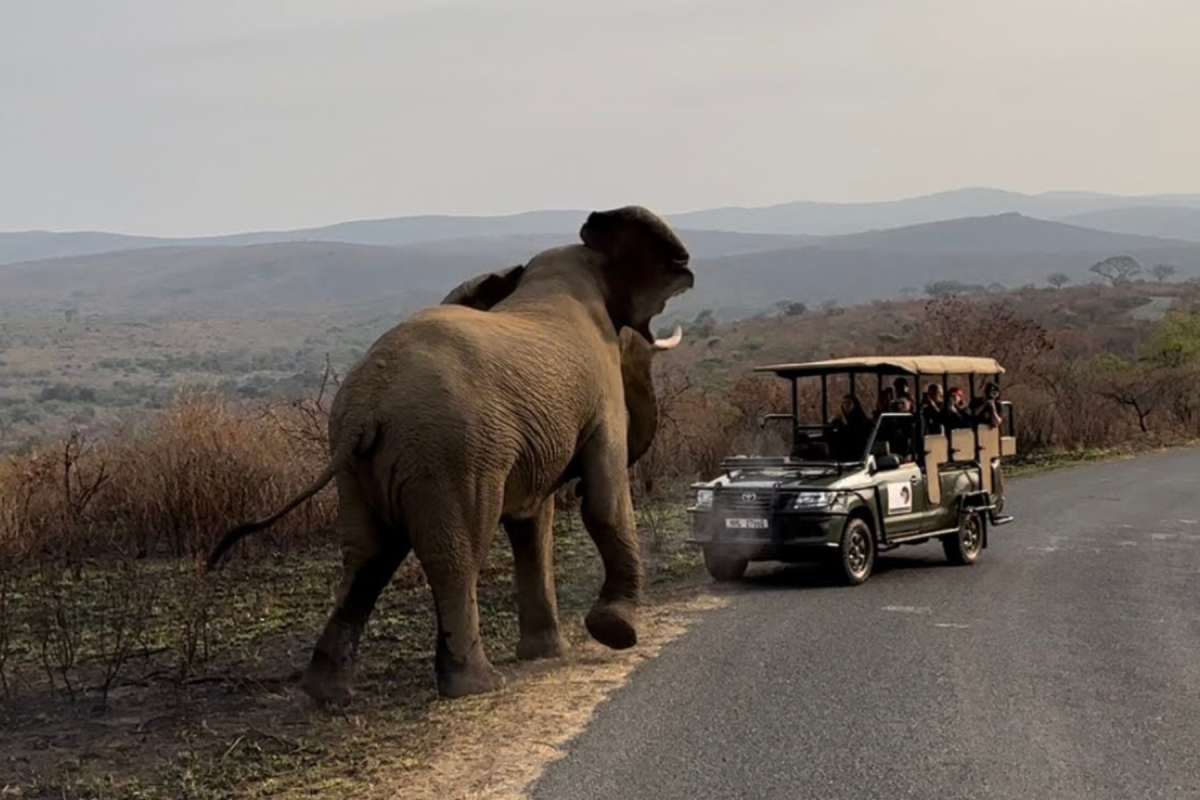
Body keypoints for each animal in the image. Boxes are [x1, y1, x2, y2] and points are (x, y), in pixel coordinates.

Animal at [206, 205, 696, 700]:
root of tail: (367, 404)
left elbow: (531, 521)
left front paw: (546, 654)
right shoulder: (600, 393)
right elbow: (604, 502)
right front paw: (616, 632)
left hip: (363, 463)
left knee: (368, 556)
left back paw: (327, 693)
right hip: (448, 454)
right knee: (456, 554)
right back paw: (478, 685)